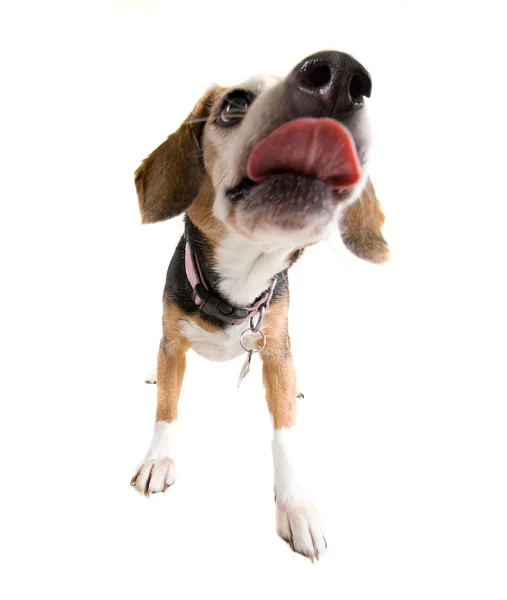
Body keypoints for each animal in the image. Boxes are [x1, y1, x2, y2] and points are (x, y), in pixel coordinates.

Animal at [130, 49, 388, 560]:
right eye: (234, 105)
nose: (339, 76)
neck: (237, 285)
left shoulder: (277, 348)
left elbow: (285, 433)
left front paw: (297, 505)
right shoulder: (173, 342)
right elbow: (166, 407)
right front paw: (158, 459)